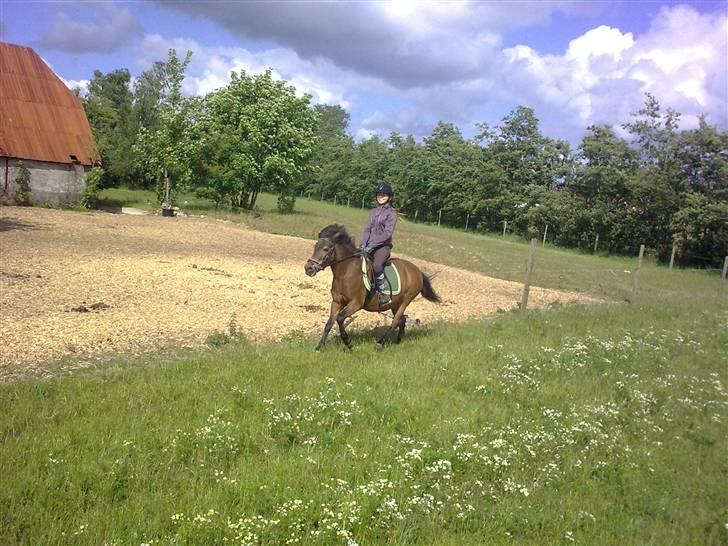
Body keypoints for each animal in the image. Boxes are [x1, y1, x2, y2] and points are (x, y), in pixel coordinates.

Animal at [304, 224, 440, 348]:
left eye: (326, 249)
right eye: (315, 247)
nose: (308, 269)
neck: (346, 272)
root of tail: (417, 271)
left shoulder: (356, 303)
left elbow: (340, 318)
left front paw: (348, 342)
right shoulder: (337, 301)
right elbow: (329, 323)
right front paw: (319, 347)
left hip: (405, 301)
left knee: (396, 320)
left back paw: (380, 343)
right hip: (395, 303)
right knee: (402, 320)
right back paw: (398, 341)